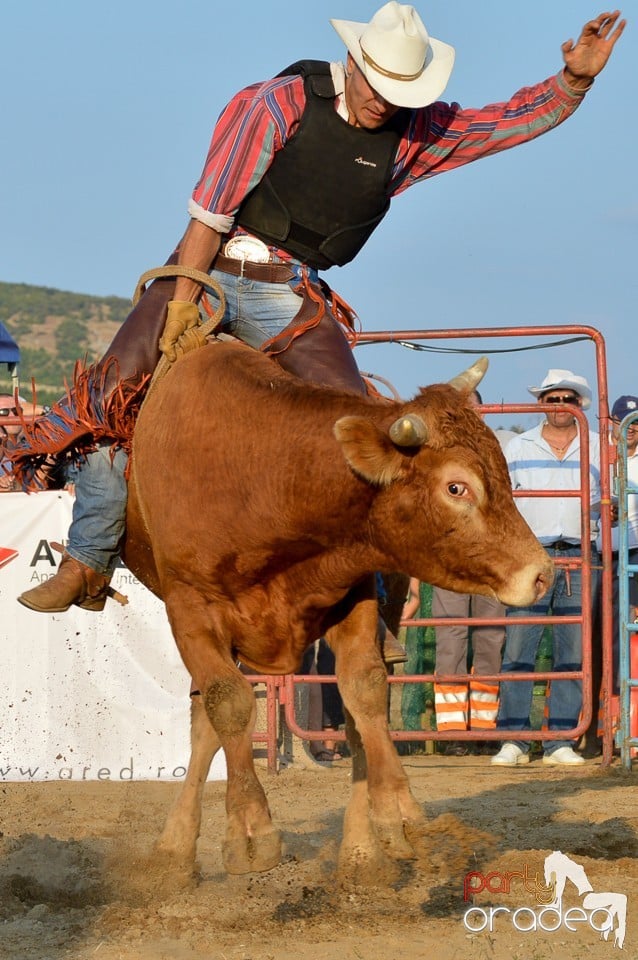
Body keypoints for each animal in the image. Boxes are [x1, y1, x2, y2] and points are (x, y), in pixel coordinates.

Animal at [122, 340, 552, 876]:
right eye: (457, 487)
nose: (542, 573)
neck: (259, 473)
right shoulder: (190, 608)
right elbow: (230, 703)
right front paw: (250, 829)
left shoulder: (354, 592)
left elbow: (364, 690)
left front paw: (396, 813)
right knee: (208, 715)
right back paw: (174, 850)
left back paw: (360, 848)